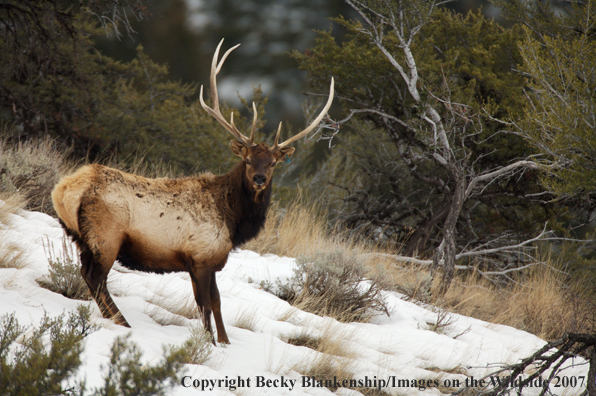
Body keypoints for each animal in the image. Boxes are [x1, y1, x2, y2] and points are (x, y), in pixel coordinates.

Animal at [51, 40, 332, 344]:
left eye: (272, 163)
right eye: (247, 160)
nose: (259, 179)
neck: (233, 221)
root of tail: (63, 190)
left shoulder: (211, 260)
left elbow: (217, 302)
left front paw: (224, 342)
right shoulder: (200, 257)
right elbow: (204, 304)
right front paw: (208, 341)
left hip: (81, 237)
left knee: (86, 273)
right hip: (107, 236)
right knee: (96, 277)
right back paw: (122, 322)